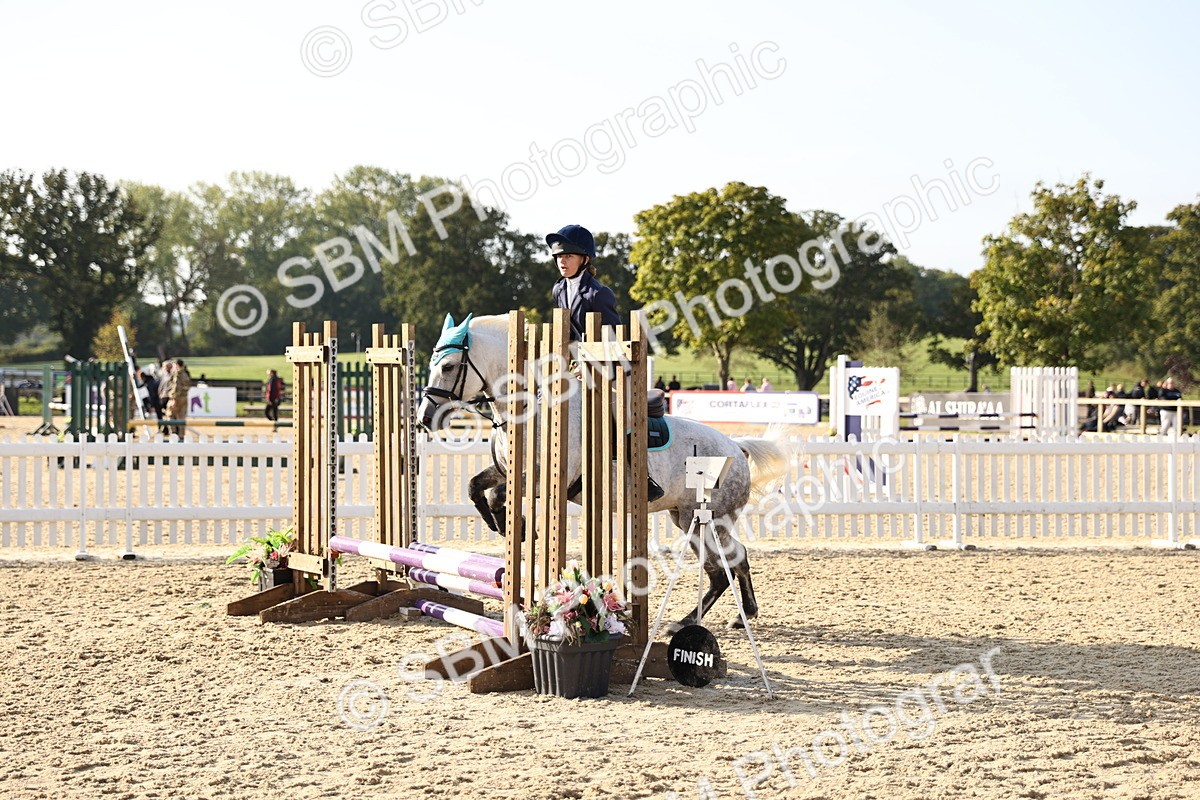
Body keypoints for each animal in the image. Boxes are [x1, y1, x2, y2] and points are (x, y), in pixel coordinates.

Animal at [417, 313, 789, 629]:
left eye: (448, 366)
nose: (424, 419)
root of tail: (736, 448)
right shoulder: (506, 471)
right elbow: (475, 486)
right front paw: (502, 524)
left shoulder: (545, 479)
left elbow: (496, 494)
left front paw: (517, 526)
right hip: (689, 520)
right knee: (731, 562)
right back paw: (739, 615)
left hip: (707, 520)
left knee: (724, 569)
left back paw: (688, 622)